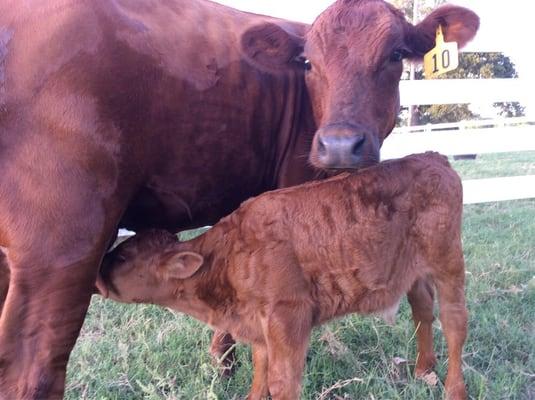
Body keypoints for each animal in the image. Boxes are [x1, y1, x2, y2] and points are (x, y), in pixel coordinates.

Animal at [0, 0, 480, 396]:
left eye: (396, 54)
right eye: (309, 62)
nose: (341, 145)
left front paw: (224, 361)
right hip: (62, 249)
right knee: (31, 372)